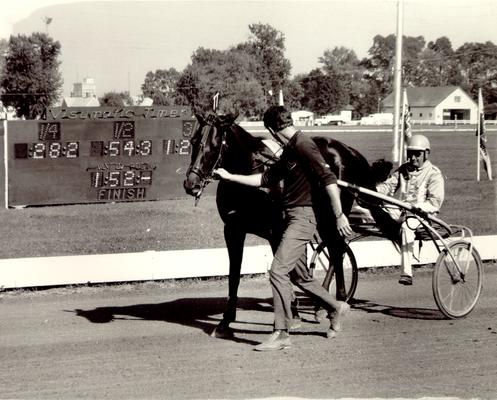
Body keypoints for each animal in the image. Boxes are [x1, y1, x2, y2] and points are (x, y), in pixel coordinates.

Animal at [184, 111, 390, 338]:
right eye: (193, 142)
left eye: (213, 145)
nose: (191, 184)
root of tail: (348, 151)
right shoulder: (233, 229)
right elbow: (234, 275)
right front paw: (225, 322)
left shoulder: (276, 230)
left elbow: (288, 271)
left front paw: (291, 314)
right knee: (336, 251)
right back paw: (323, 306)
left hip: (332, 217)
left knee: (337, 252)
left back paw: (337, 301)